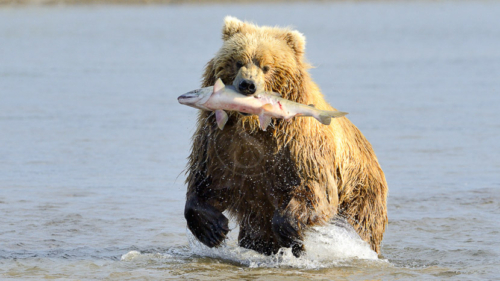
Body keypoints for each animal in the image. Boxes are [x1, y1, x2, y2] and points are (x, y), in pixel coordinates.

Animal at [183, 15, 386, 256]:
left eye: (266, 66)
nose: (247, 85)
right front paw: (213, 228)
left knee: (360, 224)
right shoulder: (220, 141)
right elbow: (208, 179)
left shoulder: (298, 146)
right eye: (238, 61)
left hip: (360, 193)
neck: (252, 125)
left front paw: (290, 231)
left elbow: (314, 189)